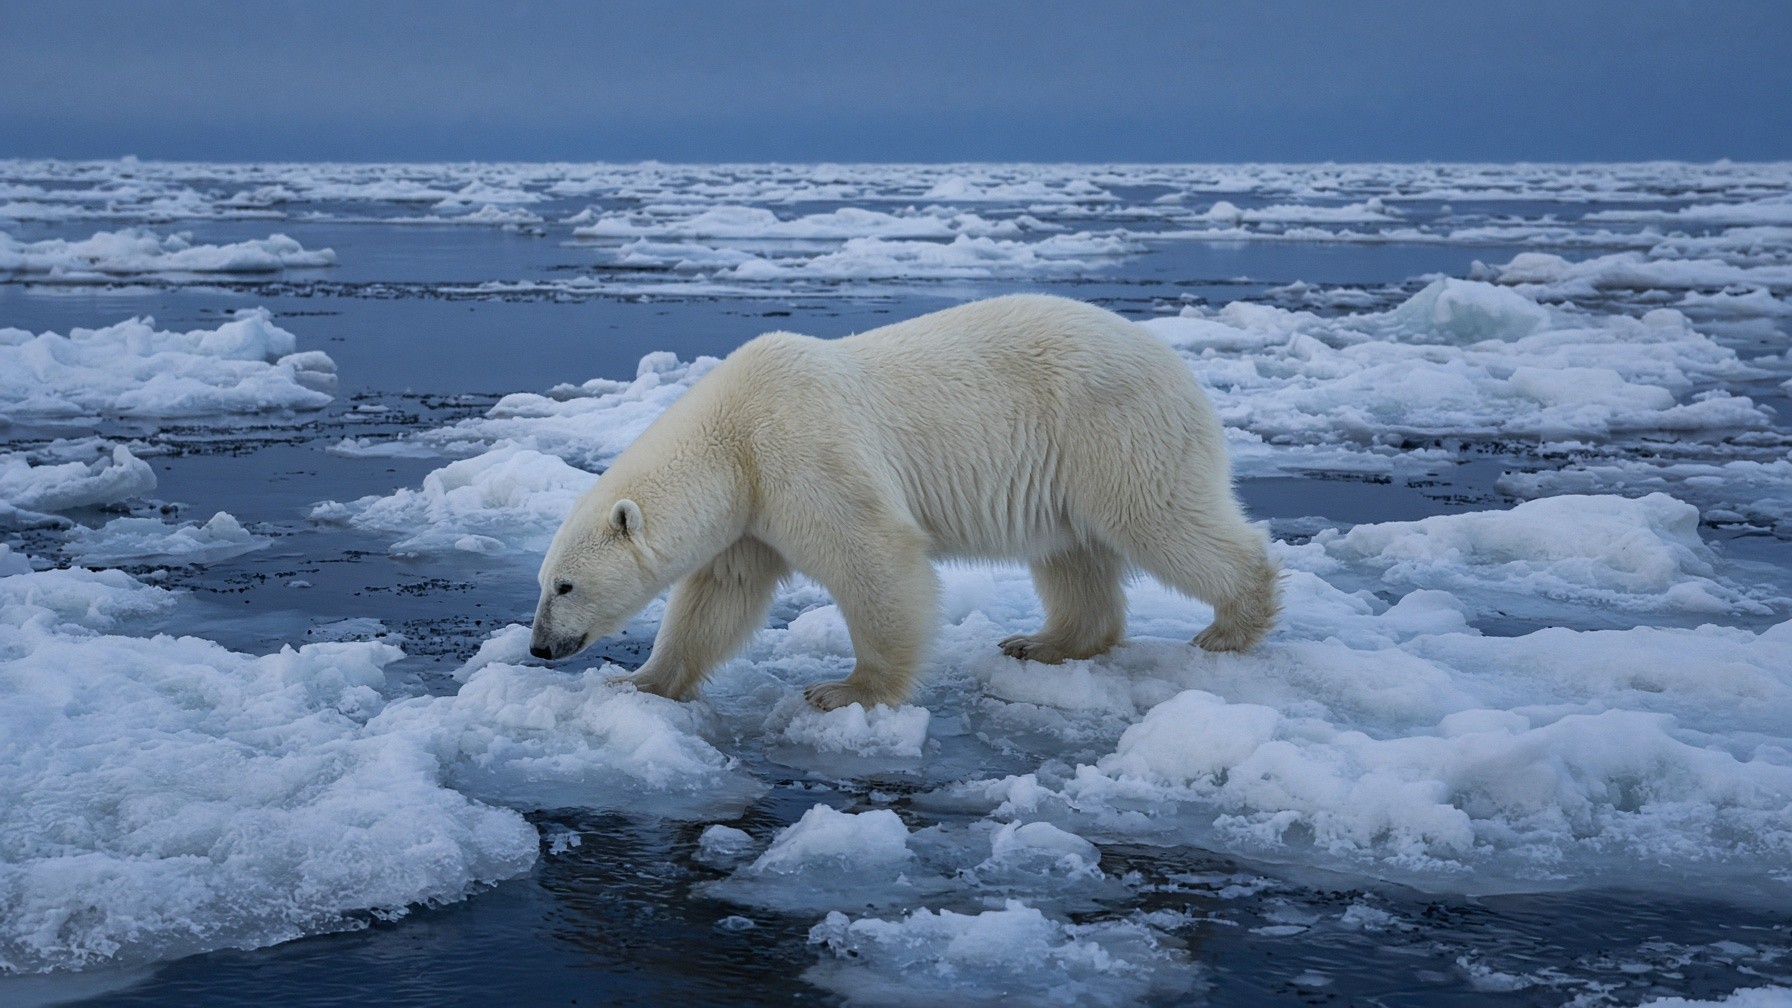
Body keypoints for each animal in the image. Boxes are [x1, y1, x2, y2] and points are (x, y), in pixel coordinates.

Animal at [529, 293, 1280, 711]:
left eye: (564, 585)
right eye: (544, 581)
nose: (538, 647)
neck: (732, 435)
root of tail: (1178, 365)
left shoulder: (803, 451)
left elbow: (875, 558)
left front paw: (843, 691)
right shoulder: (750, 509)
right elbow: (719, 595)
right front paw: (637, 682)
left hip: (1113, 429)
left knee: (1158, 519)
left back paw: (1232, 624)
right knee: (1072, 553)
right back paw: (1041, 642)